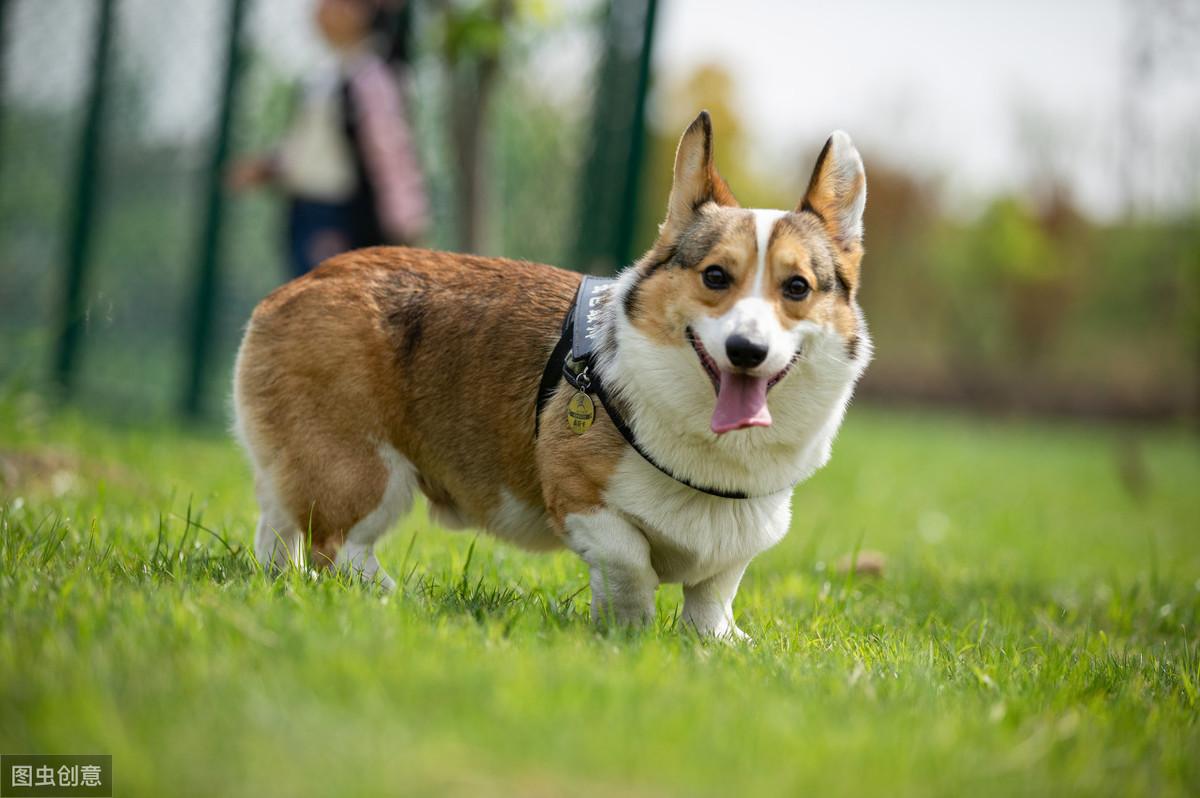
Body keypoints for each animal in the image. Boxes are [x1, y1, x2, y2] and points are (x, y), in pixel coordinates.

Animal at [234, 110, 873, 633]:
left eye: (797, 288)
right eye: (716, 276)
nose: (746, 350)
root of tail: (291, 290)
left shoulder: (738, 542)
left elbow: (712, 596)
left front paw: (716, 642)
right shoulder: (581, 500)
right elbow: (632, 564)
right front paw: (629, 630)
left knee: (280, 534)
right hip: (364, 472)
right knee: (336, 550)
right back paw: (397, 597)